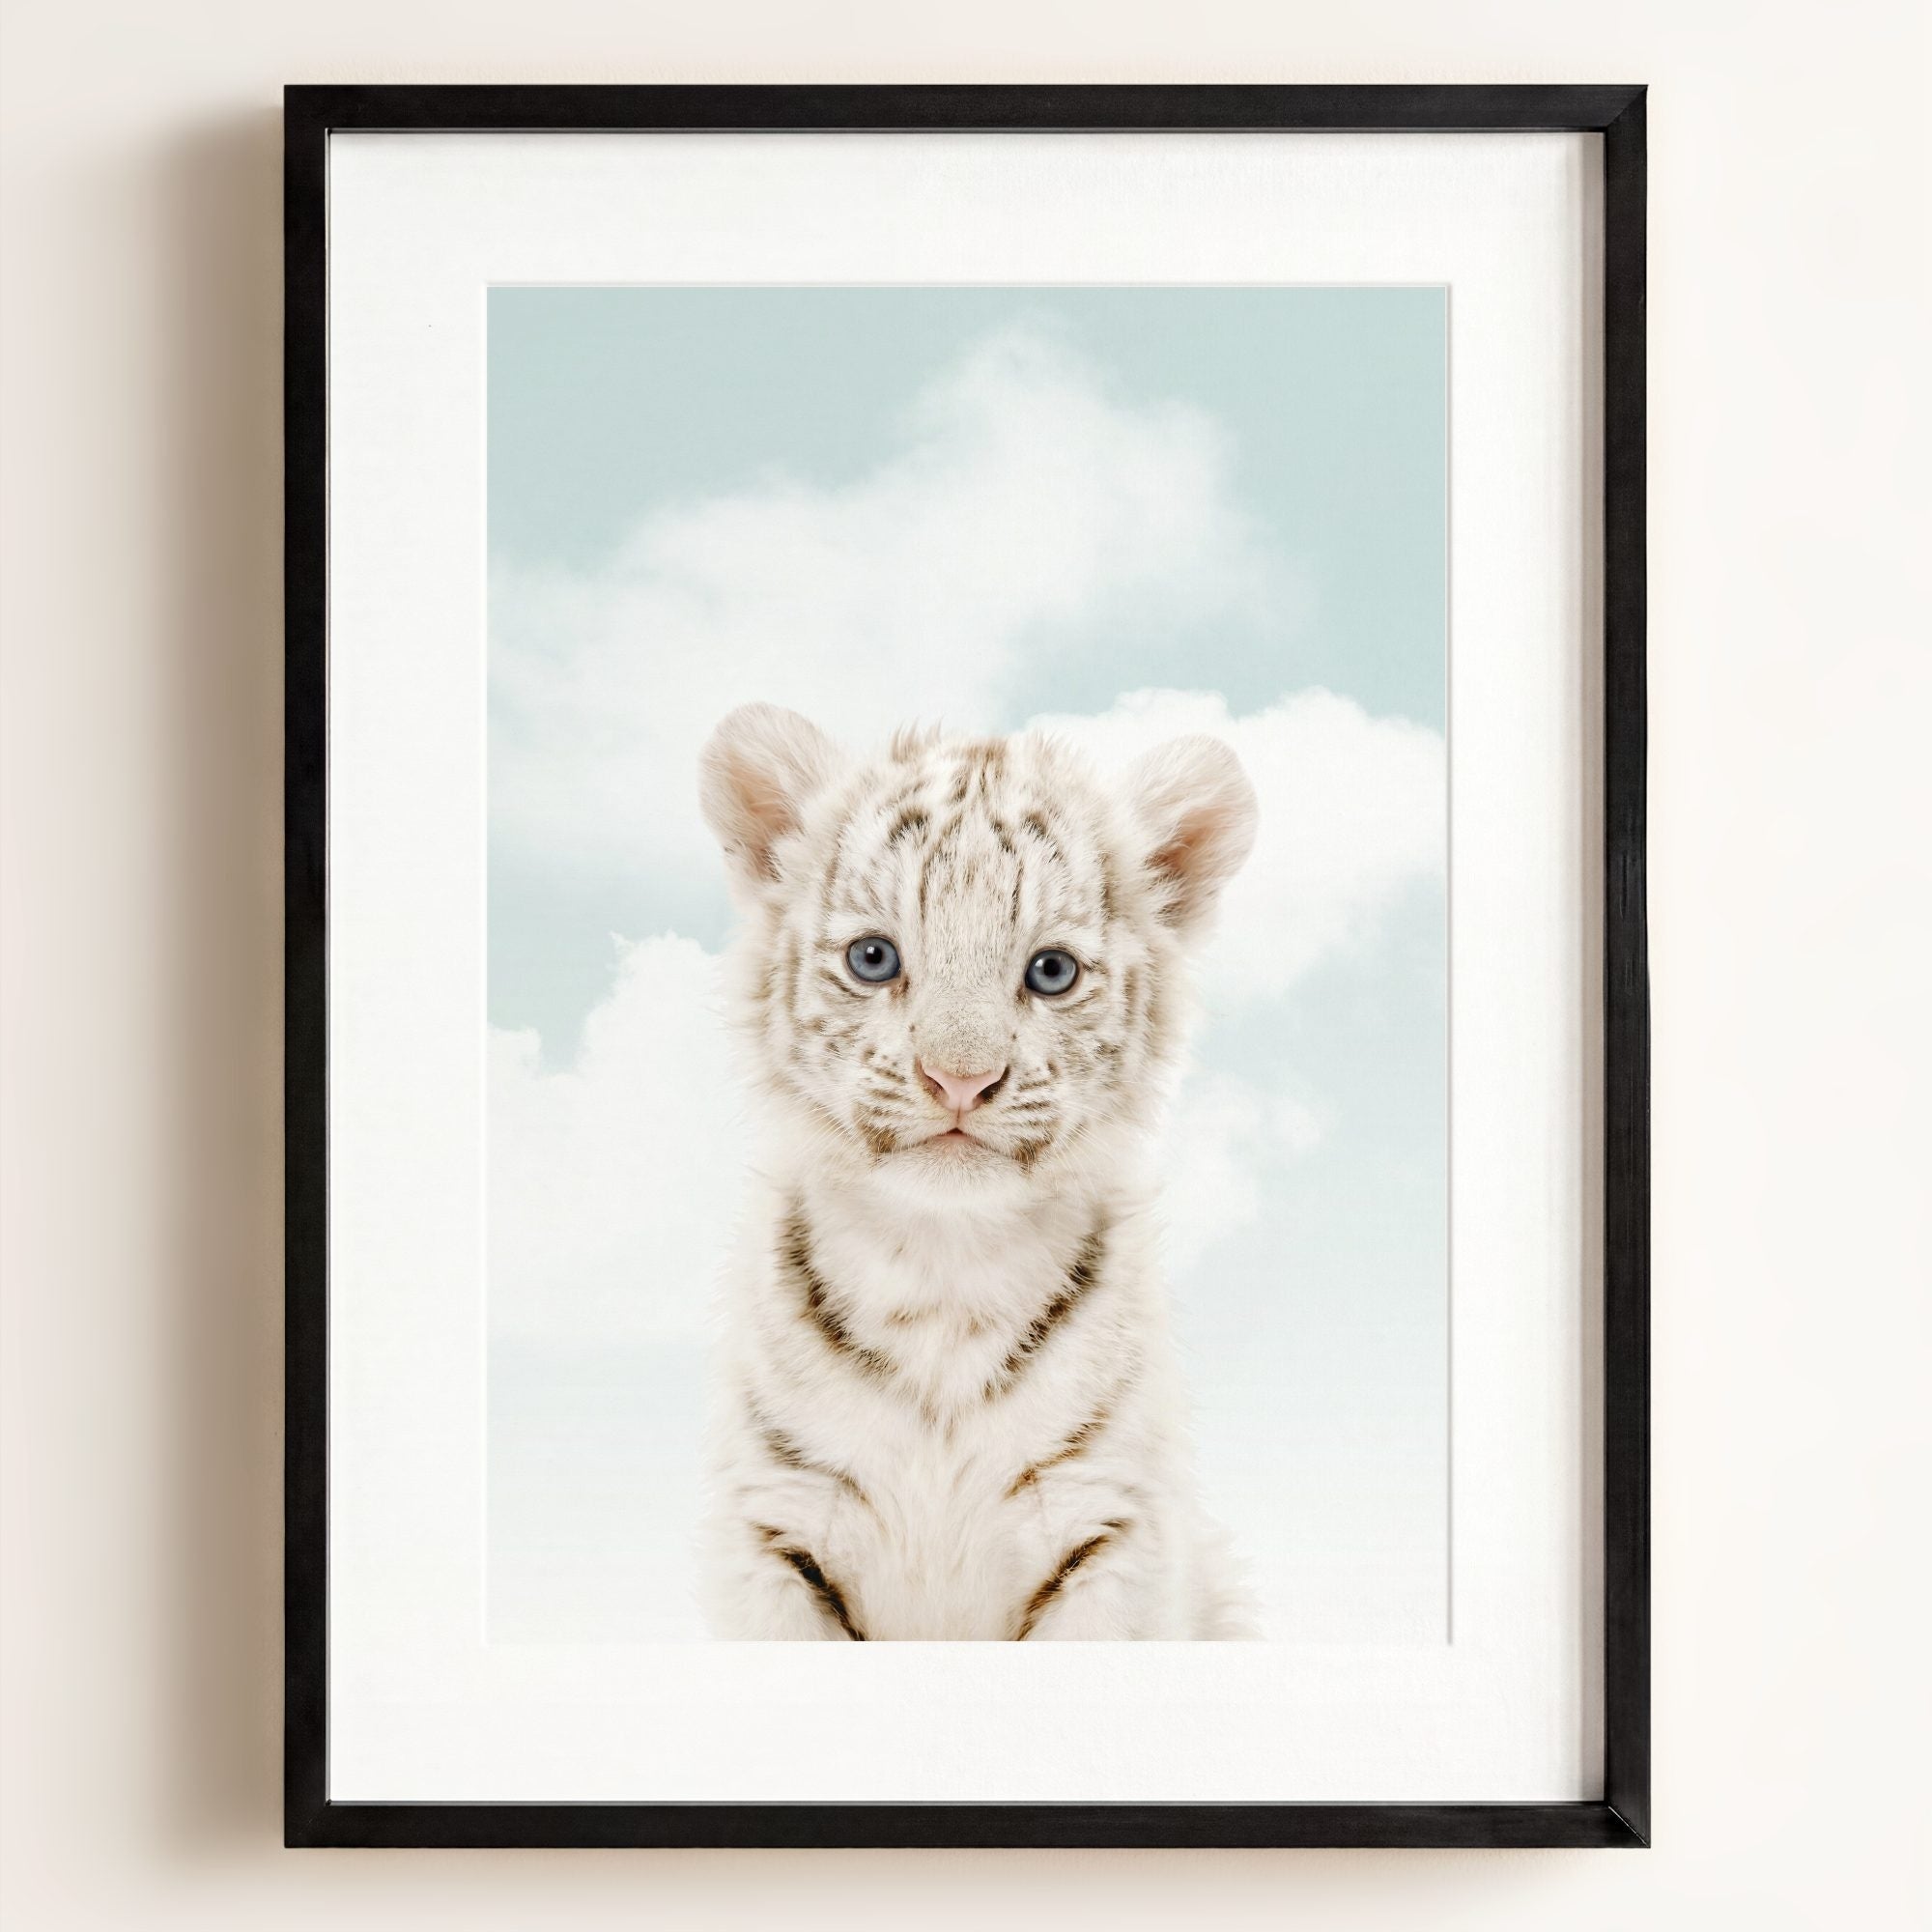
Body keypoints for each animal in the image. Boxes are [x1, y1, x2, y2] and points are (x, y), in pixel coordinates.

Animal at [696, 702, 1258, 1639]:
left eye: (1051, 971)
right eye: (874, 959)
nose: (960, 1079)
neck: (942, 1269)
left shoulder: (1110, 1528)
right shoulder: (776, 1526)